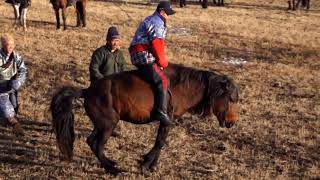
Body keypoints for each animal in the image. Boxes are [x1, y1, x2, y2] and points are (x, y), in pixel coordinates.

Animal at [50, 63, 240, 174]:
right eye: (231, 99)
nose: (232, 122)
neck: (182, 86)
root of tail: (87, 91)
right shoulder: (167, 120)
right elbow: (160, 142)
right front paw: (146, 164)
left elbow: (160, 142)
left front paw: (151, 165)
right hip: (108, 125)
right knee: (96, 144)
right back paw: (112, 169)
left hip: (101, 125)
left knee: (91, 142)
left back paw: (110, 163)